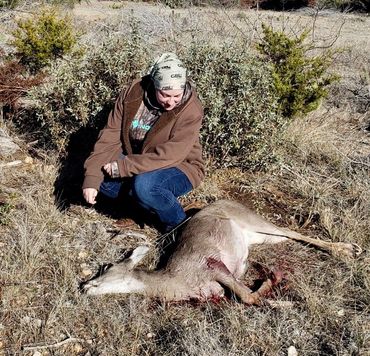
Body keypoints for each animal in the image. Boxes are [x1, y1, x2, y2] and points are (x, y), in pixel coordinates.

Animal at [81, 200, 362, 304]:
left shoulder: (213, 266)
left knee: (291, 232)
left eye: (107, 267)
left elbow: (248, 297)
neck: (178, 280)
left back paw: (349, 249)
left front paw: (273, 280)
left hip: (253, 221)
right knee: (285, 236)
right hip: (260, 238)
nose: (84, 286)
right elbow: (246, 296)